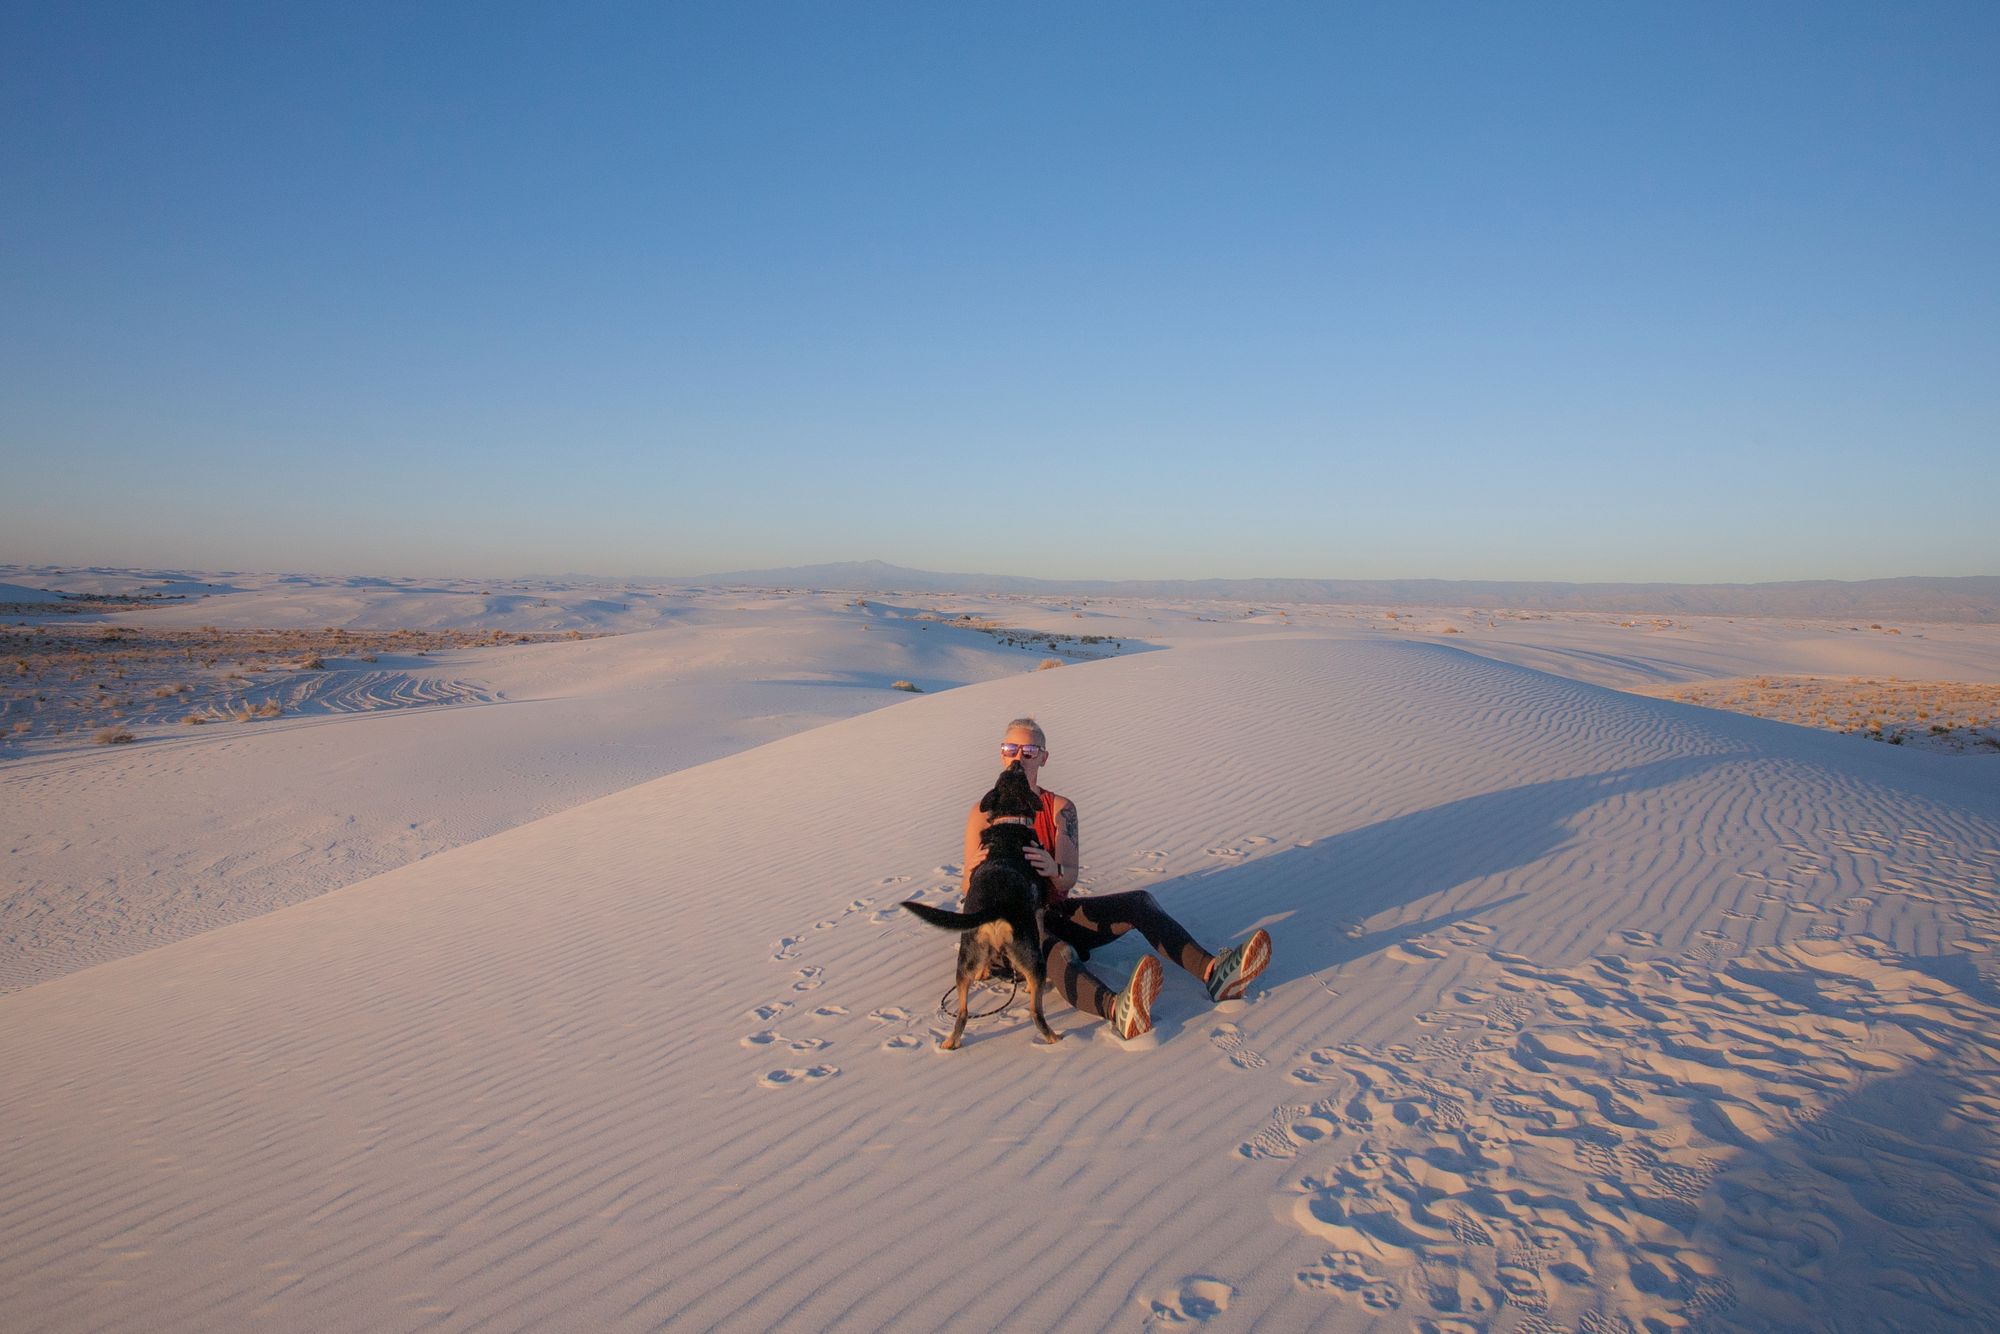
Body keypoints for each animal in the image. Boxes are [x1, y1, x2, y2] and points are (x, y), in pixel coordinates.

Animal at [904, 760, 1064, 1056]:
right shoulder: (1037, 911)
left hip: (964, 960)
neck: (1009, 822)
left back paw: (951, 1041)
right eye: (1017, 774)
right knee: (1035, 1011)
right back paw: (1053, 1037)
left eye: (1008, 774)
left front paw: (985, 971)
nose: (1016, 761)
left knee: (963, 1012)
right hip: (1033, 958)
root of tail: (994, 905)